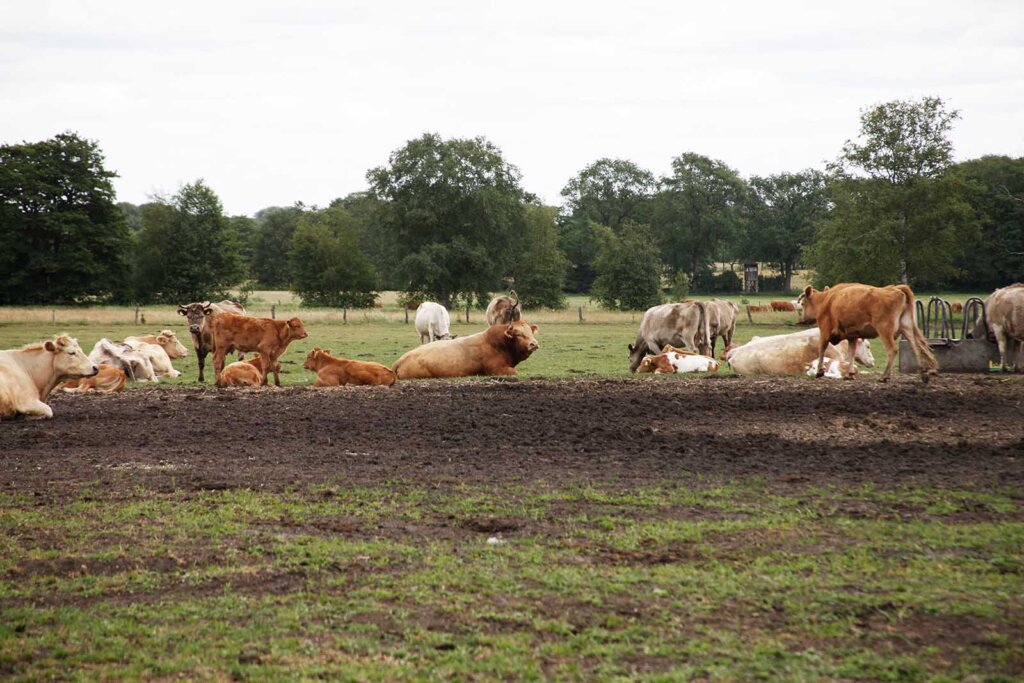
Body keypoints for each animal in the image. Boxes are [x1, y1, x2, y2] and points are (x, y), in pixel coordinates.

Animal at [794, 282, 937, 385]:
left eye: (802, 303)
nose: (801, 320)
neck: (827, 301)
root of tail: (895, 289)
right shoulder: (852, 336)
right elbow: (851, 354)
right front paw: (849, 374)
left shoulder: (824, 331)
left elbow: (822, 349)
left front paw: (820, 371)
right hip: (906, 327)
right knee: (915, 346)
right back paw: (923, 373)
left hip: (884, 330)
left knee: (892, 349)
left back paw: (884, 377)